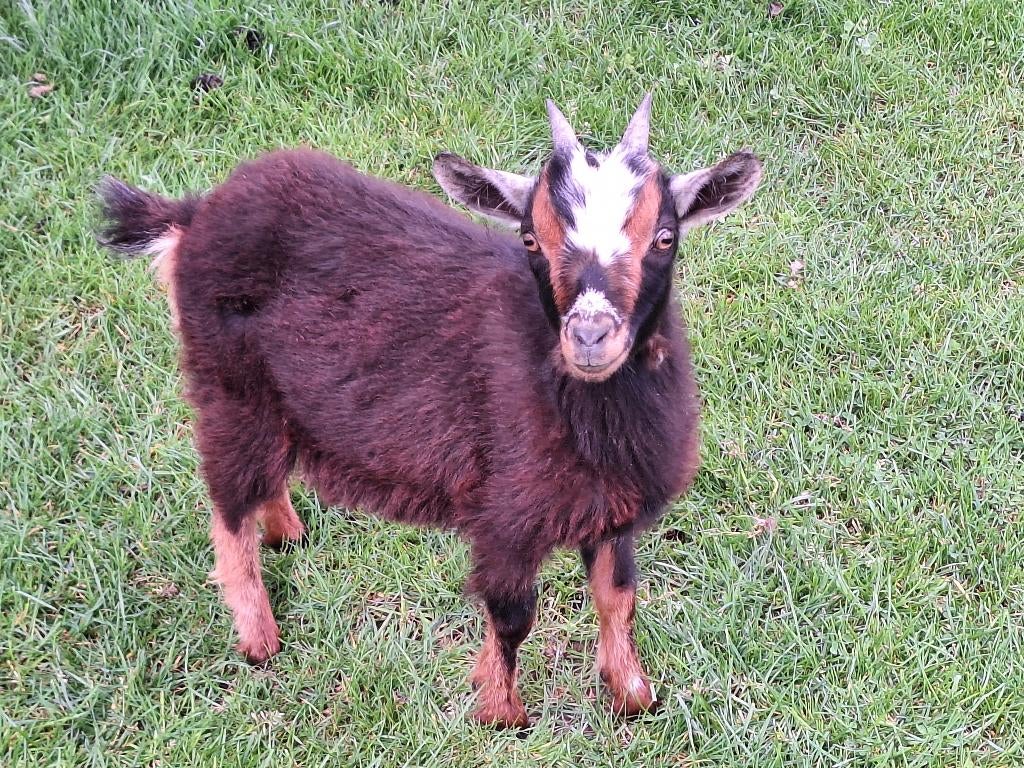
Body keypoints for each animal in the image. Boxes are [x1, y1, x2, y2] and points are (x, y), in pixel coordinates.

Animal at [97, 95, 762, 728]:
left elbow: (618, 596)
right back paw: (260, 639)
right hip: (228, 387)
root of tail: (194, 215)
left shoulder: (612, 510)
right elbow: (512, 616)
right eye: (530, 239)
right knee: (229, 501)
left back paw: (289, 535)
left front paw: (633, 697)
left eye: (665, 237)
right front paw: (501, 713)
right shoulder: (504, 515)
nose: (590, 336)